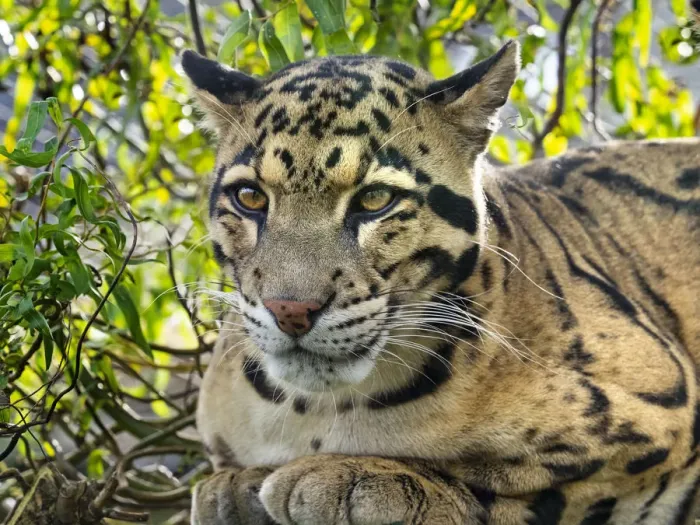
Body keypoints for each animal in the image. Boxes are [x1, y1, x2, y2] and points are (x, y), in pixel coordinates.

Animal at [180, 41, 700, 524]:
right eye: (250, 197)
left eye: (375, 199)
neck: (317, 411)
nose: (290, 311)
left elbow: (512, 489)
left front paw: (361, 478)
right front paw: (234, 484)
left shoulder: (663, 420)